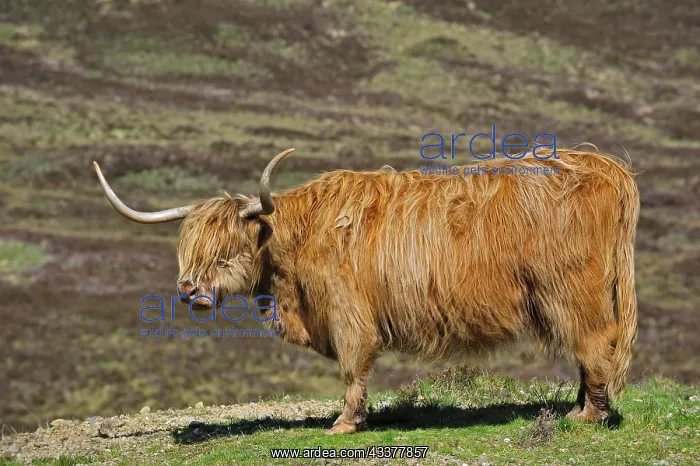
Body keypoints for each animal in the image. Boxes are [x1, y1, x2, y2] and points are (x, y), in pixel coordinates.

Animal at [93, 147, 639, 434]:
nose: (190, 291)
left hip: (572, 291)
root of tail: (604, 165)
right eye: (189, 249)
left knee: (597, 342)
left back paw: (587, 415)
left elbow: (353, 367)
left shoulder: (347, 311)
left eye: (227, 249)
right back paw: (578, 406)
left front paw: (344, 423)